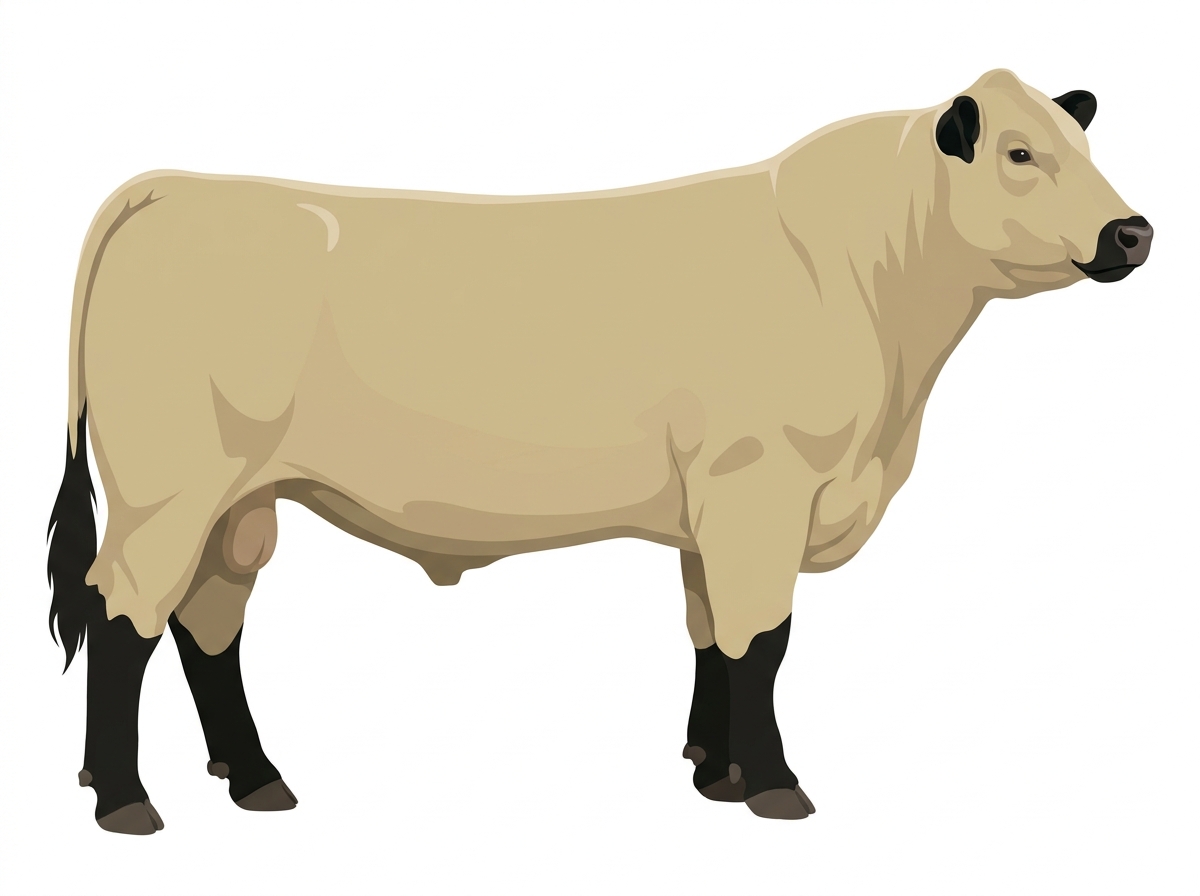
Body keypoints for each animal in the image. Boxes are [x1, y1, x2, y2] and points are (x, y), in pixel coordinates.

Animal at [47, 69, 1152, 833]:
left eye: (1081, 141)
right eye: (1019, 154)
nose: (1132, 231)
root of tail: (172, 186)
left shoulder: (717, 509)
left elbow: (713, 637)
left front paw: (716, 772)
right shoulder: (760, 489)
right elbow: (765, 641)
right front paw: (776, 786)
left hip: (239, 501)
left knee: (209, 622)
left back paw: (256, 777)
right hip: (167, 489)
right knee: (121, 615)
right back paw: (123, 800)